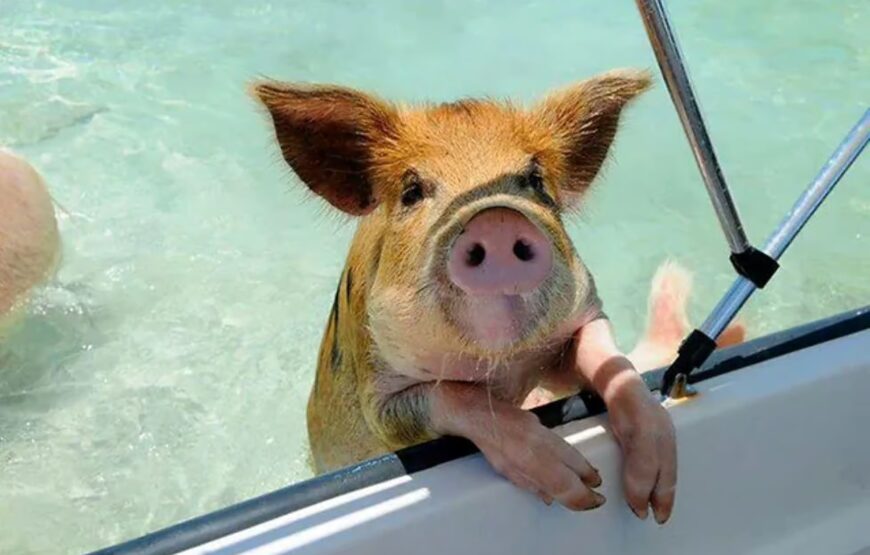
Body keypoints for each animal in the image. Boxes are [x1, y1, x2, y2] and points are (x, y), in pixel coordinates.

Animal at [251, 69, 745, 523]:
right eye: (412, 190)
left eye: (535, 180)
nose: (497, 220)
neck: (501, 365)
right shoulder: (380, 397)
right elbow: (455, 398)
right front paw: (583, 489)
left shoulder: (583, 315)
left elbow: (613, 364)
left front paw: (651, 503)